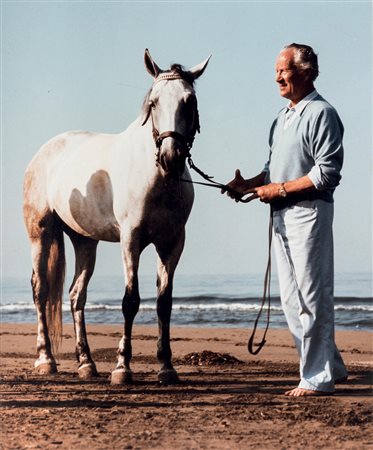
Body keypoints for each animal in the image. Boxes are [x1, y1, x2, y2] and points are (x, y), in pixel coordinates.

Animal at [22, 50, 209, 386]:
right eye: (154, 102)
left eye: (189, 101)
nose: (171, 157)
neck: (156, 178)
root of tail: (45, 151)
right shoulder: (130, 240)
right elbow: (130, 301)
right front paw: (122, 367)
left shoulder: (172, 243)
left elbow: (164, 303)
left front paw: (166, 367)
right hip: (40, 233)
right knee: (41, 289)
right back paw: (46, 360)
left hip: (85, 241)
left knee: (76, 295)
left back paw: (86, 363)